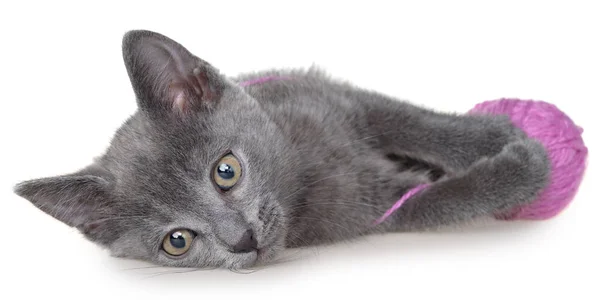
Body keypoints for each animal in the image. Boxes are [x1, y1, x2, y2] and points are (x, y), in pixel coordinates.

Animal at [12, 31, 548, 270]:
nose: (241, 240)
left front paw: (498, 139)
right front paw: (520, 168)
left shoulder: (339, 99)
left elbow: (410, 121)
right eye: (177, 241)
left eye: (225, 171)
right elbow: (441, 200)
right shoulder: (375, 208)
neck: (303, 171)